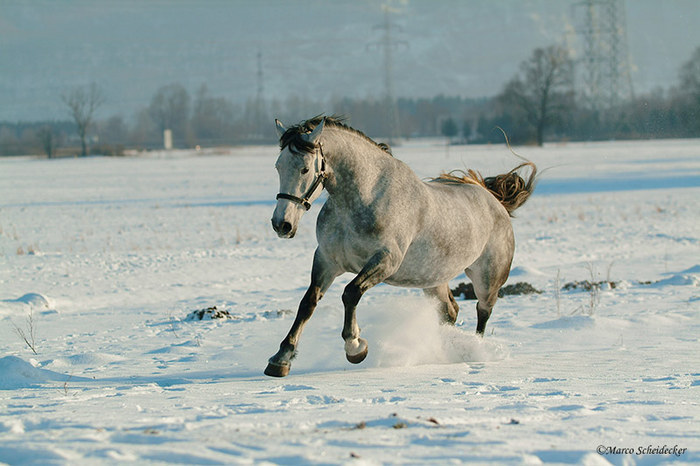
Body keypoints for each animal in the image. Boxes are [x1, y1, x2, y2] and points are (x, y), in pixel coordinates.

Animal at [264, 117, 536, 378]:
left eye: (304, 168)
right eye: (278, 166)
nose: (282, 225)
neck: (362, 199)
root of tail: (494, 201)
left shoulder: (386, 261)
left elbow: (350, 293)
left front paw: (355, 347)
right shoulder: (327, 260)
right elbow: (308, 303)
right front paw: (281, 359)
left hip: (486, 279)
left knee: (483, 312)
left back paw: (474, 350)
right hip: (433, 279)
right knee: (450, 311)